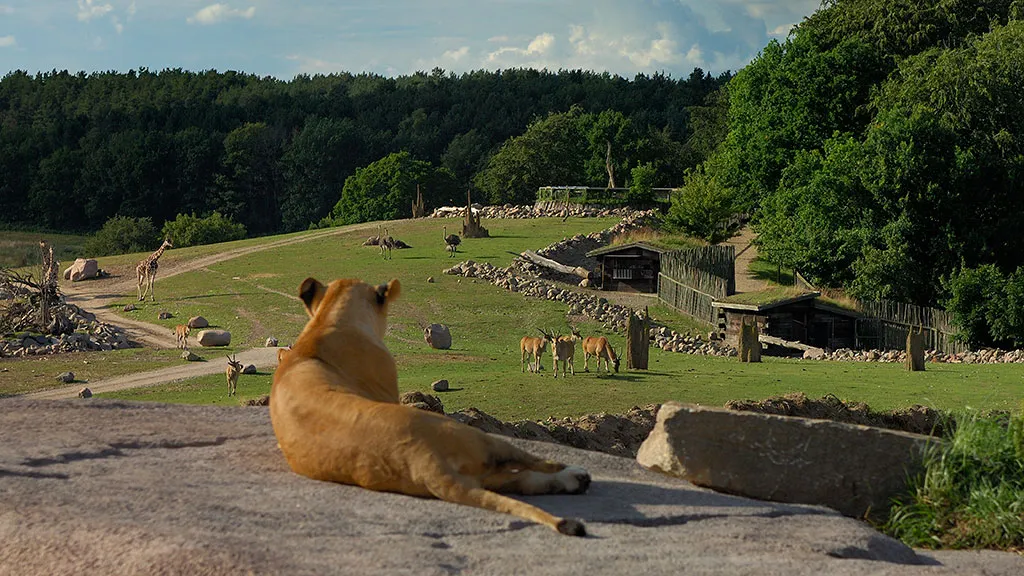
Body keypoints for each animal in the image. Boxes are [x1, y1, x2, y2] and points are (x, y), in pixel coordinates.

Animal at [270, 277, 591, 536]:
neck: (327, 320)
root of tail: (425, 463)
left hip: (468, 471)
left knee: (518, 481)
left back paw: (576, 481)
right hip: (474, 437)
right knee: (534, 465)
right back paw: (578, 474)